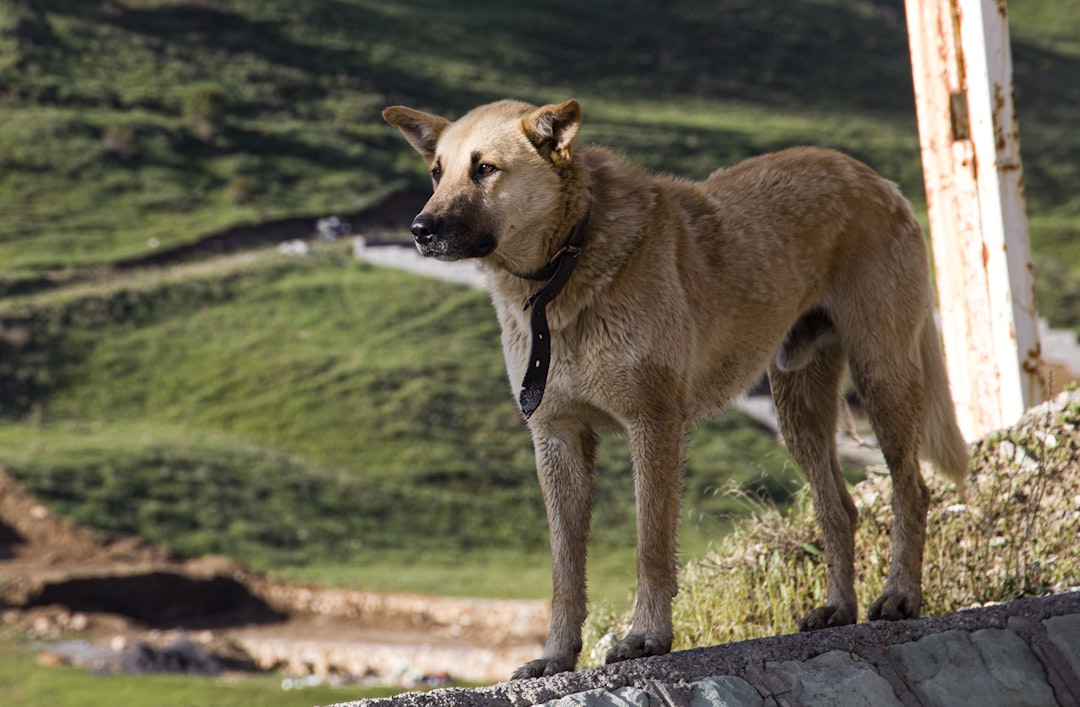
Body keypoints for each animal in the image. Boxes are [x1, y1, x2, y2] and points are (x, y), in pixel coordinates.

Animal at [382, 99, 972, 682]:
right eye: (437, 172)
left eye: (485, 168)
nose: (419, 229)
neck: (563, 271)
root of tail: (874, 178)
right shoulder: (557, 436)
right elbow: (564, 568)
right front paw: (557, 656)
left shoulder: (654, 424)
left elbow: (650, 546)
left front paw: (647, 638)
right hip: (799, 406)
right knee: (839, 508)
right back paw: (839, 609)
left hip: (882, 374)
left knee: (911, 490)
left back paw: (900, 597)